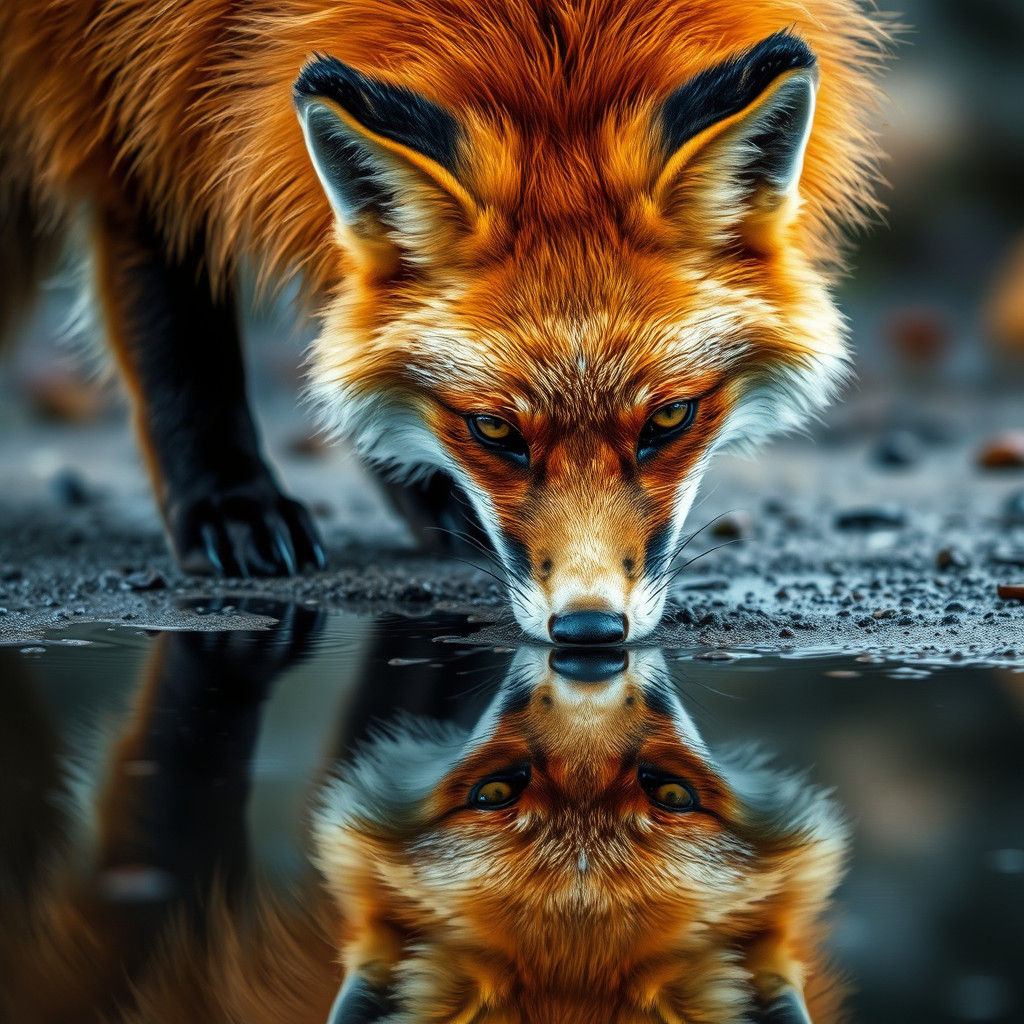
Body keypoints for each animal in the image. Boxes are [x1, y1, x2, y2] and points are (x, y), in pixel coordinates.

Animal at [0, 0, 890, 642]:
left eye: (669, 419)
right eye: (494, 430)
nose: (590, 631)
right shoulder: (127, 101)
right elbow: (180, 339)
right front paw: (229, 502)